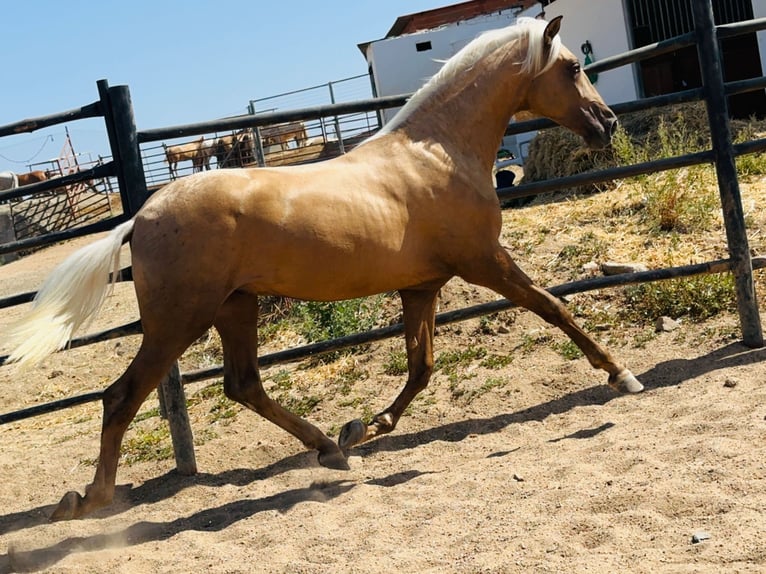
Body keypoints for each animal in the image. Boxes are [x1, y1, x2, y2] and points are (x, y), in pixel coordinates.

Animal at [3, 16, 644, 520]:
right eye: (571, 66)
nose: (607, 123)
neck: (439, 153)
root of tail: (141, 217)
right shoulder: (486, 263)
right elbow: (555, 307)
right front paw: (621, 375)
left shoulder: (421, 287)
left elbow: (422, 367)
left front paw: (362, 428)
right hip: (179, 320)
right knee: (122, 397)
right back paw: (89, 501)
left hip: (235, 307)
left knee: (243, 384)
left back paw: (328, 448)